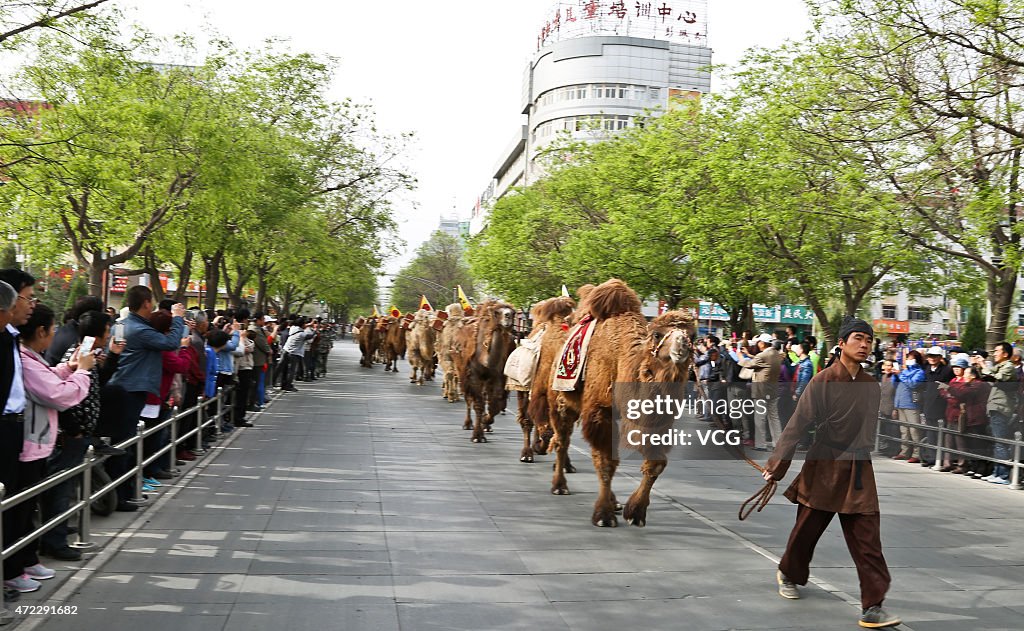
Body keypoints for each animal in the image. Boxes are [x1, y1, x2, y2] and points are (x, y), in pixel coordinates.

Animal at [454, 301, 516, 444]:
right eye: (496, 312)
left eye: (513, 312)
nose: (508, 317)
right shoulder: (473, 375)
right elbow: (478, 404)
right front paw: (477, 436)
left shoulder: (497, 376)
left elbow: (496, 403)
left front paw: (486, 421)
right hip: (462, 371)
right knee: (468, 397)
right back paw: (468, 424)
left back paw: (485, 425)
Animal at [561, 280, 696, 528]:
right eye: (657, 334)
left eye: (694, 334)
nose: (681, 345)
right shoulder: (600, 410)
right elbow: (606, 461)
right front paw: (603, 515)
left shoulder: (655, 422)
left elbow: (656, 463)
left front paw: (636, 511)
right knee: (559, 434)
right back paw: (558, 482)